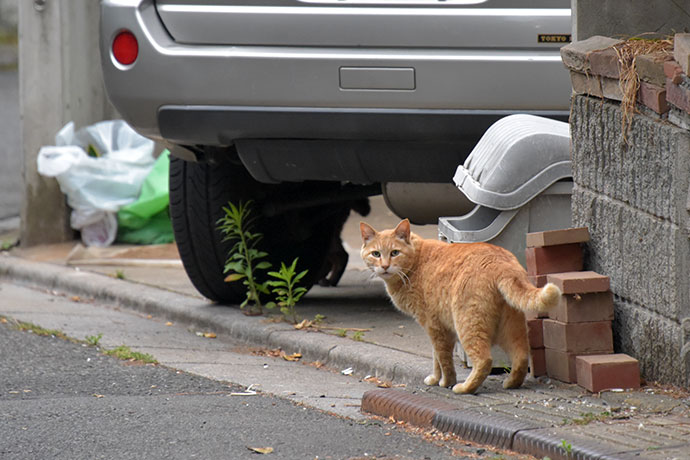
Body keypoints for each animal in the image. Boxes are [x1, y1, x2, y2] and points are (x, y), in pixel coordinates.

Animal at [360, 219, 560, 396]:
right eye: (376, 254)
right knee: (521, 356)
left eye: (395, 252)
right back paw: (511, 383)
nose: (385, 266)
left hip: (467, 325)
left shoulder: (434, 326)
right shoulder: (437, 327)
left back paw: (465, 388)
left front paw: (446, 382)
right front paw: (435, 379)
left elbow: (443, 359)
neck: (416, 262)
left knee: (485, 360)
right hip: (511, 327)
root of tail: (501, 262)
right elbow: (436, 358)